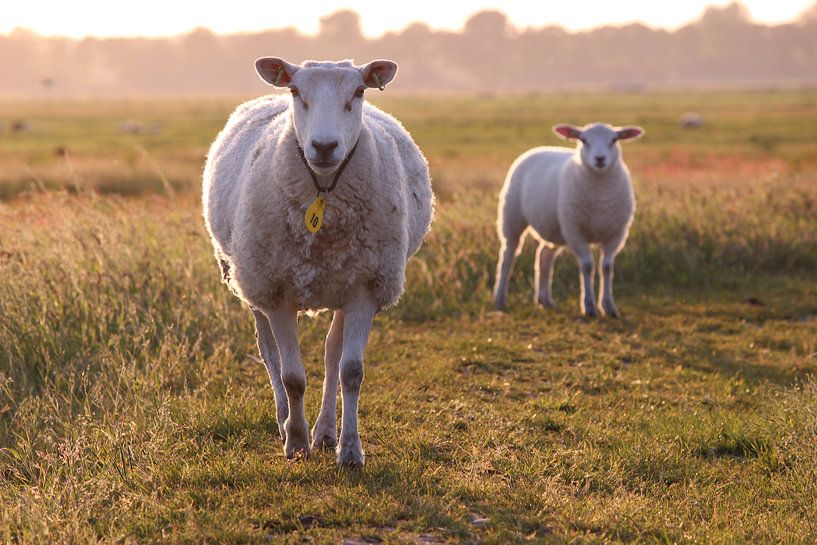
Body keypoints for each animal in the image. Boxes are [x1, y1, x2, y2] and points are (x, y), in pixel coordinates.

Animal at [202, 58, 433, 467]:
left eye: (359, 91)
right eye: (295, 91)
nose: (324, 146)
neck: (323, 193)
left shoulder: (365, 289)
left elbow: (351, 371)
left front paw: (350, 450)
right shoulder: (277, 292)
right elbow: (292, 376)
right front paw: (296, 442)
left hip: (343, 281)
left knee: (330, 354)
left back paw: (325, 432)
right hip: (251, 278)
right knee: (270, 355)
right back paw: (286, 422)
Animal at [493, 122, 643, 317]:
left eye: (614, 140)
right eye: (584, 140)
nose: (600, 159)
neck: (600, 197)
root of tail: (539, 148)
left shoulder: (616, 234)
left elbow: (607, 268)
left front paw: (609, 307)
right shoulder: (576, 232)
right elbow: (587, 266)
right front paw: (589, 307)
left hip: (556, 228)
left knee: (544, 255)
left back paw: (544, 300)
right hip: (512, 217)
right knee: (507, 257)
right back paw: (500, 299)